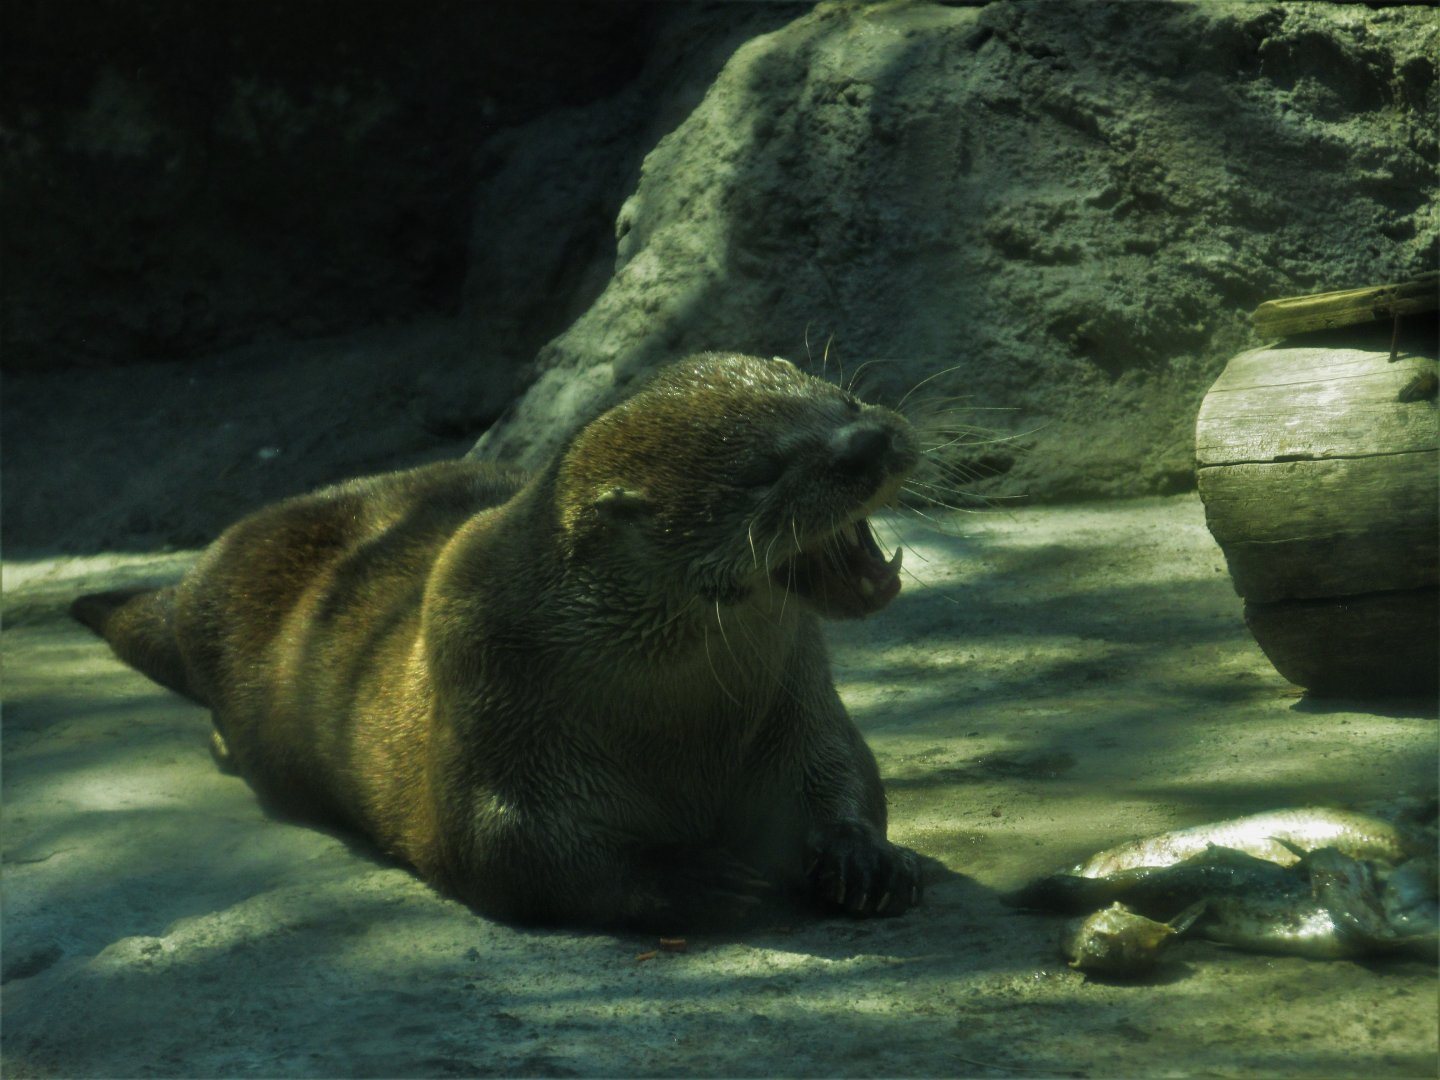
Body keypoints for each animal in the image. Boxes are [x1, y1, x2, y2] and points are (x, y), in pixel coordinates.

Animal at [73, 352, 924, 929]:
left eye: (842, 397)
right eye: (763, 471)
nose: (869, 439)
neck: (683, 732)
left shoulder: (799, 703)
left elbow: (846, 774)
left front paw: (858, 856)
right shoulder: (493, 698)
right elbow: (512, 849)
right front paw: (697, 878)